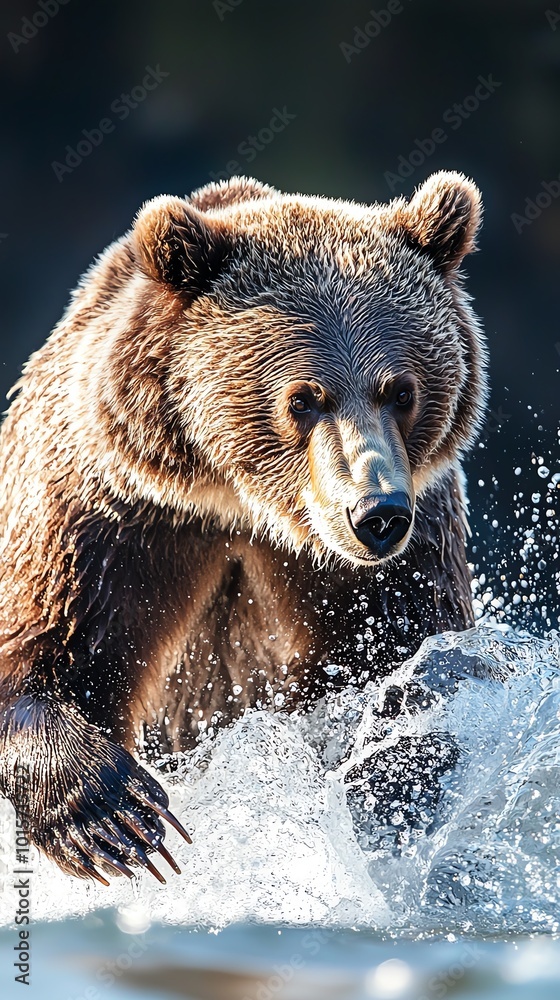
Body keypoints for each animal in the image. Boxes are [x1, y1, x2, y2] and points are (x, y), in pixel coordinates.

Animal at [0, 170, 487, 884]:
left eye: (401, 390)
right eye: (304, 398)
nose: (376, 515)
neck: (243, 502)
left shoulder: (394, 559)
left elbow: (412, 659)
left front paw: (387, 775)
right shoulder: (110, 517)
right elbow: (42, 645)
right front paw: (115, 817)